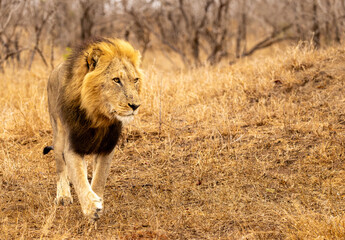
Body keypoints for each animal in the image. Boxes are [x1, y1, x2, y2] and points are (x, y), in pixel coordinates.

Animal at [43, 37, 142, 219]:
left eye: (135, 80)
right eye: (116, 80)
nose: (135, 106)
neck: (98, 117)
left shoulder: (107, 147)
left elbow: (99, 178)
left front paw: (96, 201)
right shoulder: (72, 147)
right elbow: (79, 178)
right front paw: (90, 207)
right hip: (58, 134)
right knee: (61, 167)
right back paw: (63, 196)